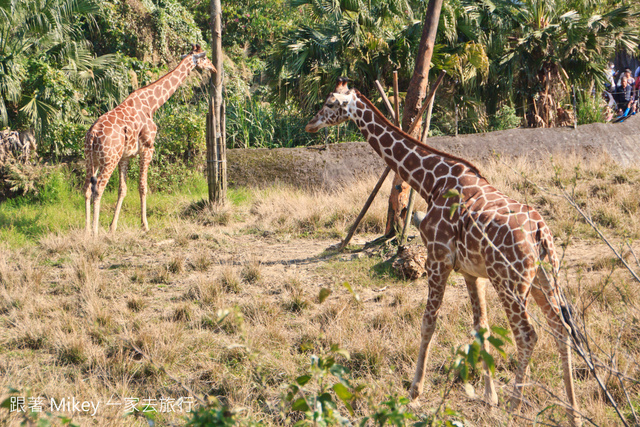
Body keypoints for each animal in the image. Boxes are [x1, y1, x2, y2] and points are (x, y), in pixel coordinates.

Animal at [83, 45, 215, 236]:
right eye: (205, 58)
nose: (214, 68)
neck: (152, 104)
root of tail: (92, 135)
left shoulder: (125, 156)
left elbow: (122, 189)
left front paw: (113, 227)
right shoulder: (148, 147)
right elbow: (143, 186)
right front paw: (145, 225)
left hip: (91, 159)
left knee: (87, 188)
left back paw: (86, 231)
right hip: (109, 159)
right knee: (98, 189)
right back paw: (94, 232)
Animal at [308, 78, 584, 426]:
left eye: (330, 103)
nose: (310, 123)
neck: (431, 182)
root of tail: (541, 232)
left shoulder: (437, 258)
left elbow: (429, 321)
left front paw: (414, 392)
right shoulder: (471, 273)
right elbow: (481, 328)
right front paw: (489, 396)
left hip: (510, 281)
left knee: (528, 334)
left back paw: (514, 407)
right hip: (543, 279)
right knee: (561, 329)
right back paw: (573, 413)